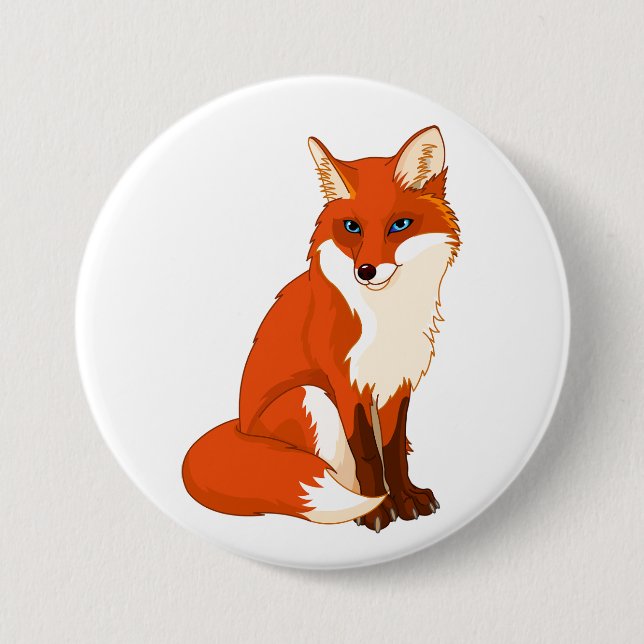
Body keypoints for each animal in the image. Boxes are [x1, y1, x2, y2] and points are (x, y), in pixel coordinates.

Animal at [182, 126, 460, 533]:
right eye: (352, 227)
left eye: (399, 225)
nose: (366, 271)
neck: (385, 316)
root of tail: (240, 427)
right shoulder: (346, 383)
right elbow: (367, 455)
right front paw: (379, 509)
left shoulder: (396, 382)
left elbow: (393, 451)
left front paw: (407, 497)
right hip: (310, 397)